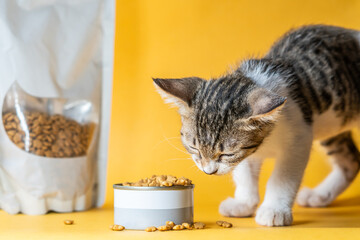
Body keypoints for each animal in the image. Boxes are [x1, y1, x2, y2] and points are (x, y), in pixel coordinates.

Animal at [153, 25, 360, 226]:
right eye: (194, 148)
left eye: (226, 154)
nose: (209, 171)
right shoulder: (247, 151)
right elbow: (244, 172)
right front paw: (244, 203)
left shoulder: (299, 138)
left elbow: (282, 178)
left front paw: (274, 210)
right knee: (351, 161)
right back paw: (320, 195)